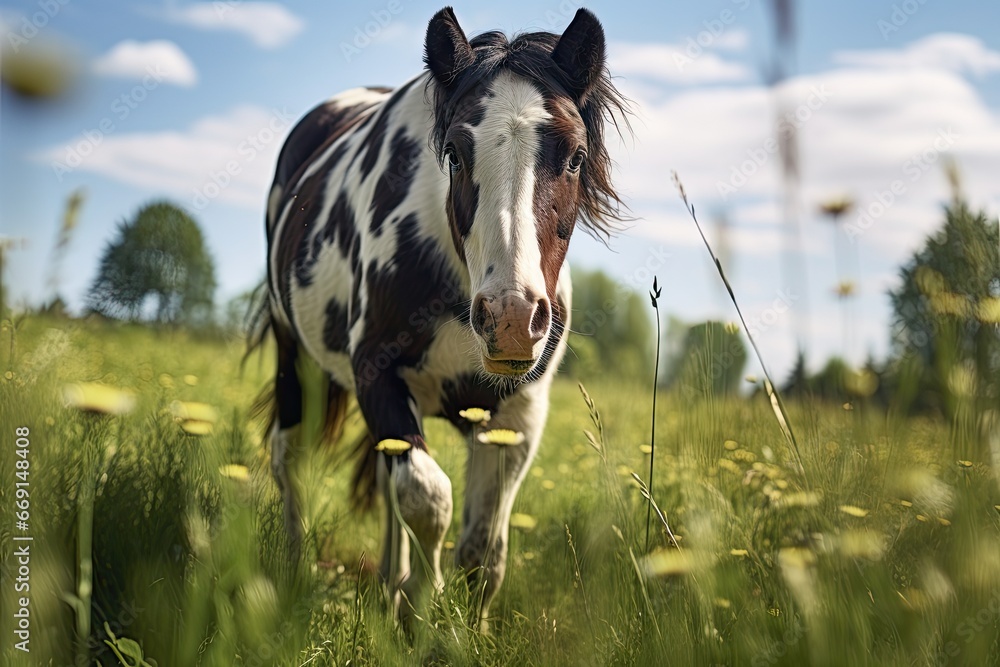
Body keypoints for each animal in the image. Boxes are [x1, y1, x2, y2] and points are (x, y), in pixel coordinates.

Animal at [258, 6, 628, 628]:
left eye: (576, 156)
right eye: (454, 153)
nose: (511, 317)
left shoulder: (517, 415)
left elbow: (483, 550)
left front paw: (454, 628)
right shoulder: (376, 375)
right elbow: (428, 499)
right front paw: (420, 613)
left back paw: (387, 582)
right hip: (296, 360)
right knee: (293, 461)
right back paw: (295, 570)